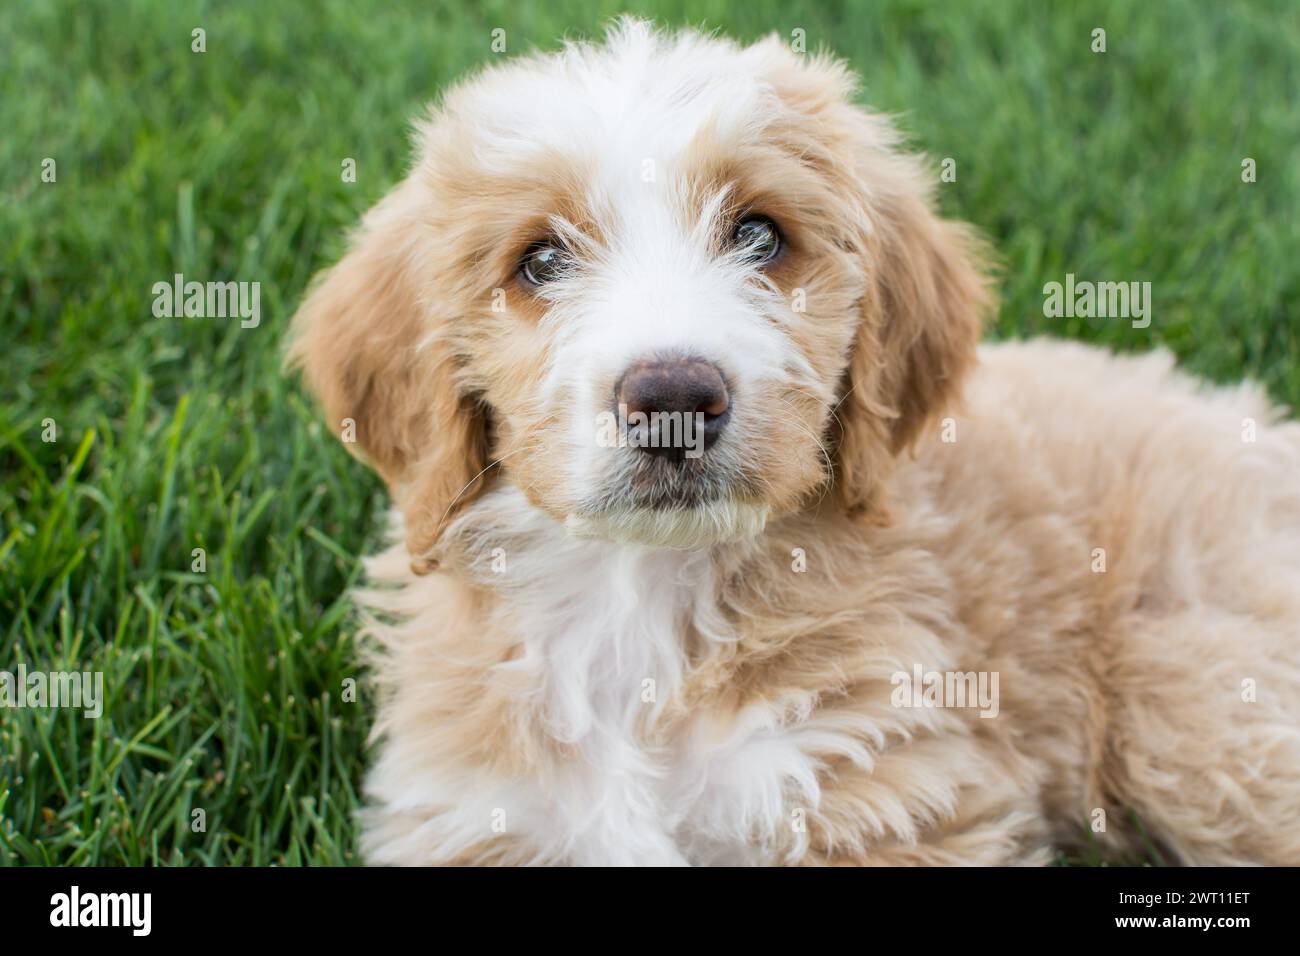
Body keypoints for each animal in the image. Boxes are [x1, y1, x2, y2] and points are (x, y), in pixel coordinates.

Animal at [287, 18, 1300, 868]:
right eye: (540, 260)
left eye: (760, 234)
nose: (674, 398)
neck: (640, 600)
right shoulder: (478, 815)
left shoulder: (886, 785)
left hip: (1199, 713)